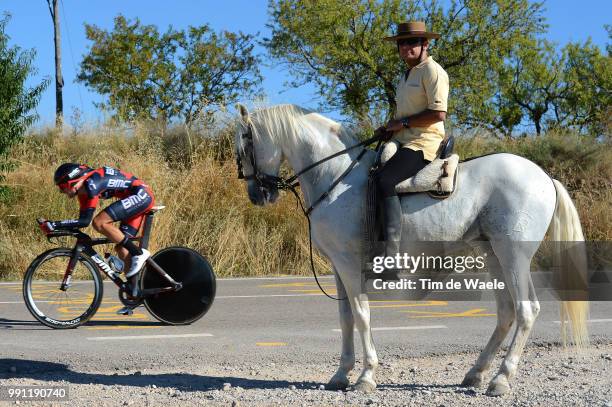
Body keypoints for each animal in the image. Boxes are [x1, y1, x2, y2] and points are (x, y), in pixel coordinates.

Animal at [234, 103, 588, 396]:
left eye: (244, 147)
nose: (258, 195)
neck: (335, 177)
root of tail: (545, 177)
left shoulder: (349, 264)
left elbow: (361, 316)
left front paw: (366, 376)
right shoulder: (338, 266)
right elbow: (345, 317)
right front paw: (340, 375)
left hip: (513, 256)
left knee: (527, 310)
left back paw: (501, 379)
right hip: (494, 256)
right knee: (507, 312)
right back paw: (476, 373)